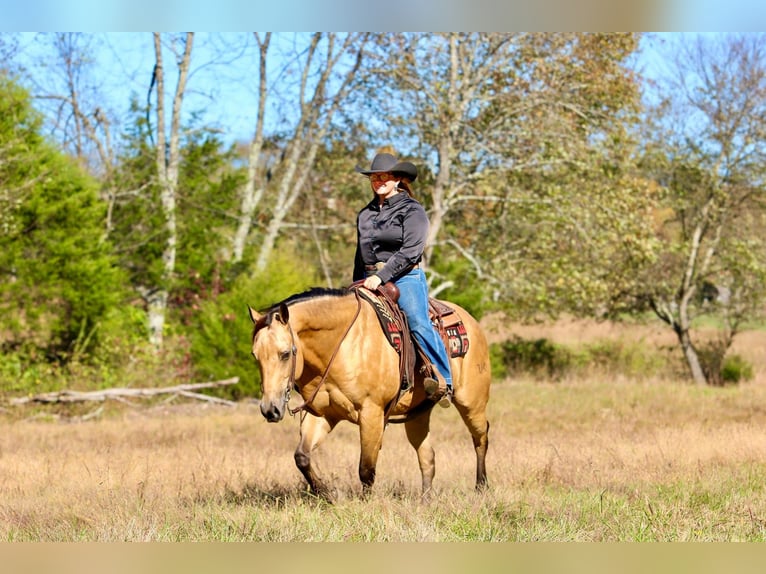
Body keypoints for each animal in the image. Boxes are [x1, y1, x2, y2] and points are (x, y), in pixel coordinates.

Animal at [248, 286, 491, 499]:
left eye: (285, 354)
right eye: (255, 355)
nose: (270, 409)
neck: (342, 345)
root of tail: (472, 322)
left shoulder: (371, 413)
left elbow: (366, 469)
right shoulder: (321, 414)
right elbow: (302, 457)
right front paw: (328, 495)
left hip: (471, 403)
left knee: (480, 438)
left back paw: (481, 488)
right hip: (418, 414)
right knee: (427, 456)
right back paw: (426, 500)